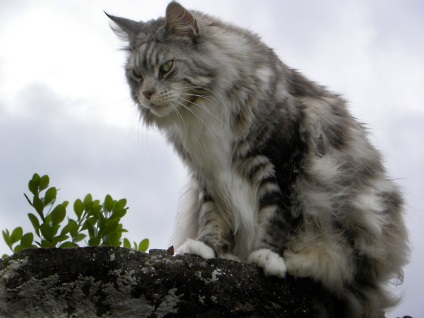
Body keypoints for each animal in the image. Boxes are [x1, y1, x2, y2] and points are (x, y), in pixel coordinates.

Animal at [107, 1, 410, 316]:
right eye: (136, 74)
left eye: (166, 67)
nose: (146, 94)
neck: (198, 112)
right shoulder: (208, 174)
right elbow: (213, 216)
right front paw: (206, 249)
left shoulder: (281, 159)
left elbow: (277, 213)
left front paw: (269, 257)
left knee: (343, 270)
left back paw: (301, 262)